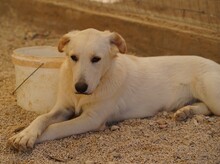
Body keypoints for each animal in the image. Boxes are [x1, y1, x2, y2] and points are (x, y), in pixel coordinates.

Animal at [9, 28, 220, 150]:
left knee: (213, 110)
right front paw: (25, 133)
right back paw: (186, 111)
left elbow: (56, 127)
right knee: (205, 108)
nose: (80, 87)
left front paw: (30, 138)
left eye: (96, 59)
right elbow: (42, 118)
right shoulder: (62, 108)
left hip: (209, 91)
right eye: (73, 57)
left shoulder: (91, 119)